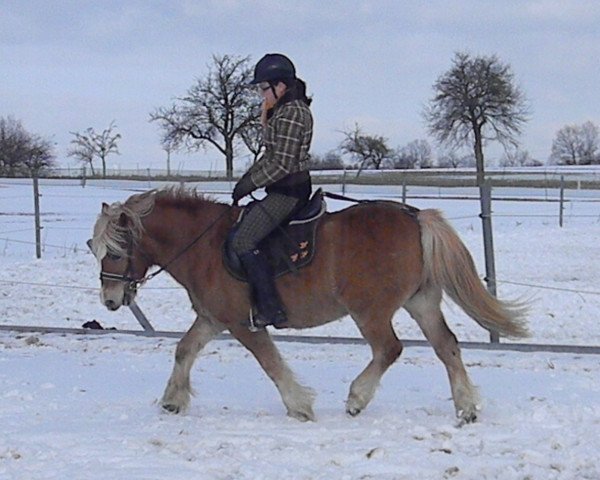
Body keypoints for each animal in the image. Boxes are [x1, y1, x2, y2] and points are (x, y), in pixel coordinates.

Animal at [91, 188, 528, 424]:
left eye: (114, 251)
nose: (110, 300)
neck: (205, 244)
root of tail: (415, 215)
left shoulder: (242, 323)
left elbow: (270, 362)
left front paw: (300, 406)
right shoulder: (213, 318)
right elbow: (184, 350)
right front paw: (172, 401)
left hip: (371, 311)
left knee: (389, 349)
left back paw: (357, 399)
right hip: (421, 302)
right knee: (446, 346)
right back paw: (466, 409)